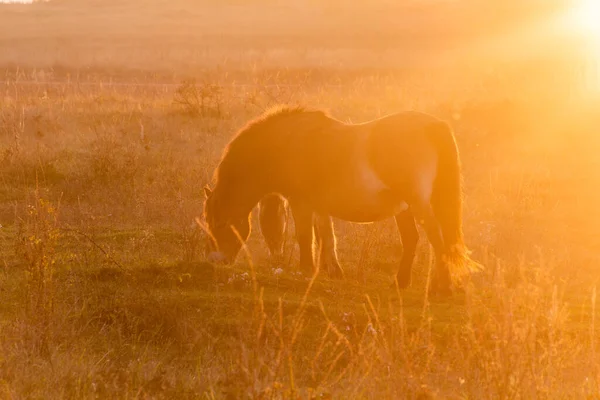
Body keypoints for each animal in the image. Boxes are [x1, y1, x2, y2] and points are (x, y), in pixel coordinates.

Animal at [204, 105, 480, 294]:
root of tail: (432, 125)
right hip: (405, 208)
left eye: (221, 224)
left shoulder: (301, 202)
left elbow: (306, 237)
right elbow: (326, 237)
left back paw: (442, 287)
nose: (217, 262)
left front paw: (306, 272)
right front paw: (333, 271)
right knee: (415, 240)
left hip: (418, 204)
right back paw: (402, 282)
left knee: (436, 238)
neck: (288, 144)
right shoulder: (318, 206)